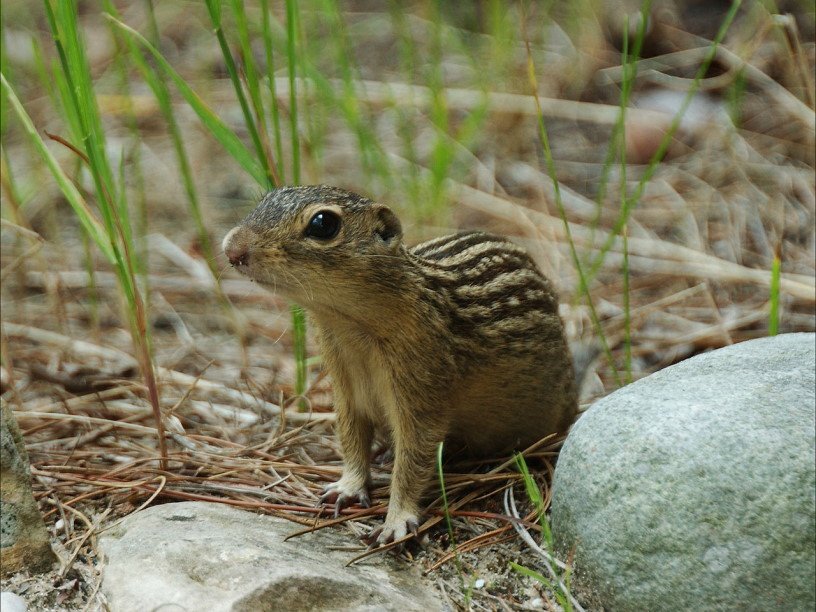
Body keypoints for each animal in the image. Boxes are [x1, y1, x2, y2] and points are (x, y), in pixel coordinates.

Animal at [223, 185, 580, 544]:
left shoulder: (422, 393)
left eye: (323, 224)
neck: (349, 325)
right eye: (267, 198)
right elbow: (351, 441)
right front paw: (348, 487)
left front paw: (396, 520)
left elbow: (412, 462)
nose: (231, 248)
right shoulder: (346, 391)